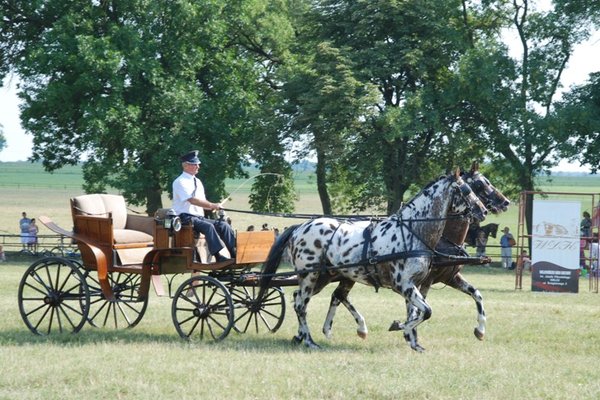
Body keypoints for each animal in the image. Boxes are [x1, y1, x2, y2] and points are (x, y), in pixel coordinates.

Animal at [258, 169, 488, 354]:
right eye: (468, 190)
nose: (484, 211)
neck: (413, 232)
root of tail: (300, 227)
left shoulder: (413, 284)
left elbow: (417, 311)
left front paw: (413, 342)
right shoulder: (404, 285)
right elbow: (426, 311)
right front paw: (401, 327)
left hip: (324, 277)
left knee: (307, 299)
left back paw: (306, 335)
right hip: (310, 275)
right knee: (301, 306)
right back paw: (310, 341)